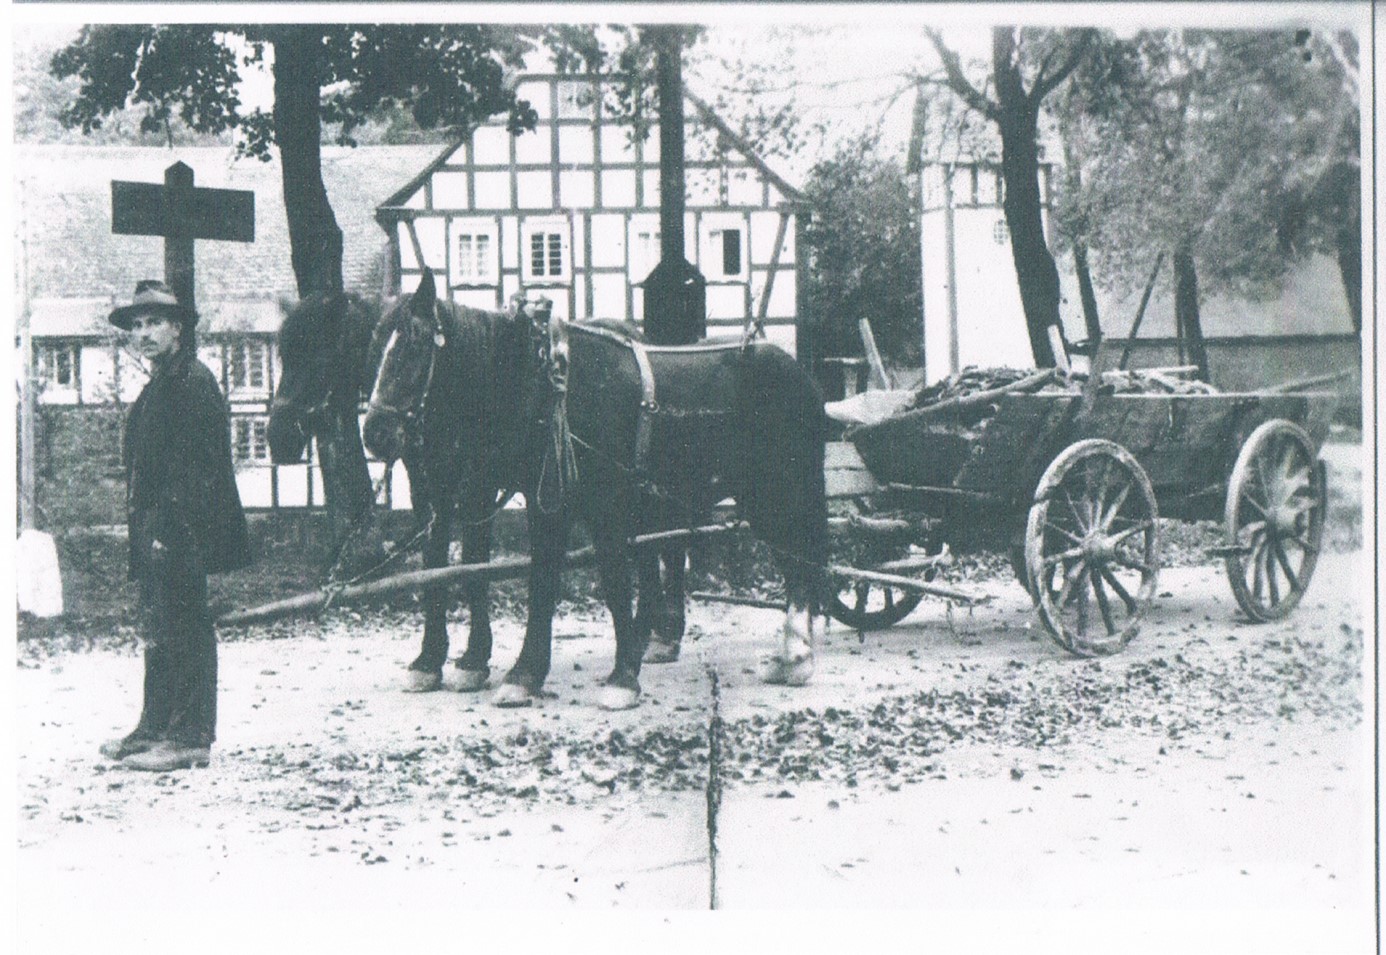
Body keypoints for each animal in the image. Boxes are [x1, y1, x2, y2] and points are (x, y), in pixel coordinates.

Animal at [363, 268, 826, 706]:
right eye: (373, 343)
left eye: (414, 344)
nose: (375, 433)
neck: (549, 385)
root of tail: (798, 372)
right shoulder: (537, 500)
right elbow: (533, 577)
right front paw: (522, 673)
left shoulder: (601, 504)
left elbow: (612, 581)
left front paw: (621, 678)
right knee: (786, 558)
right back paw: (785, 657)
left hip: (780, 490)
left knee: (799, 559)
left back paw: (796, 658)